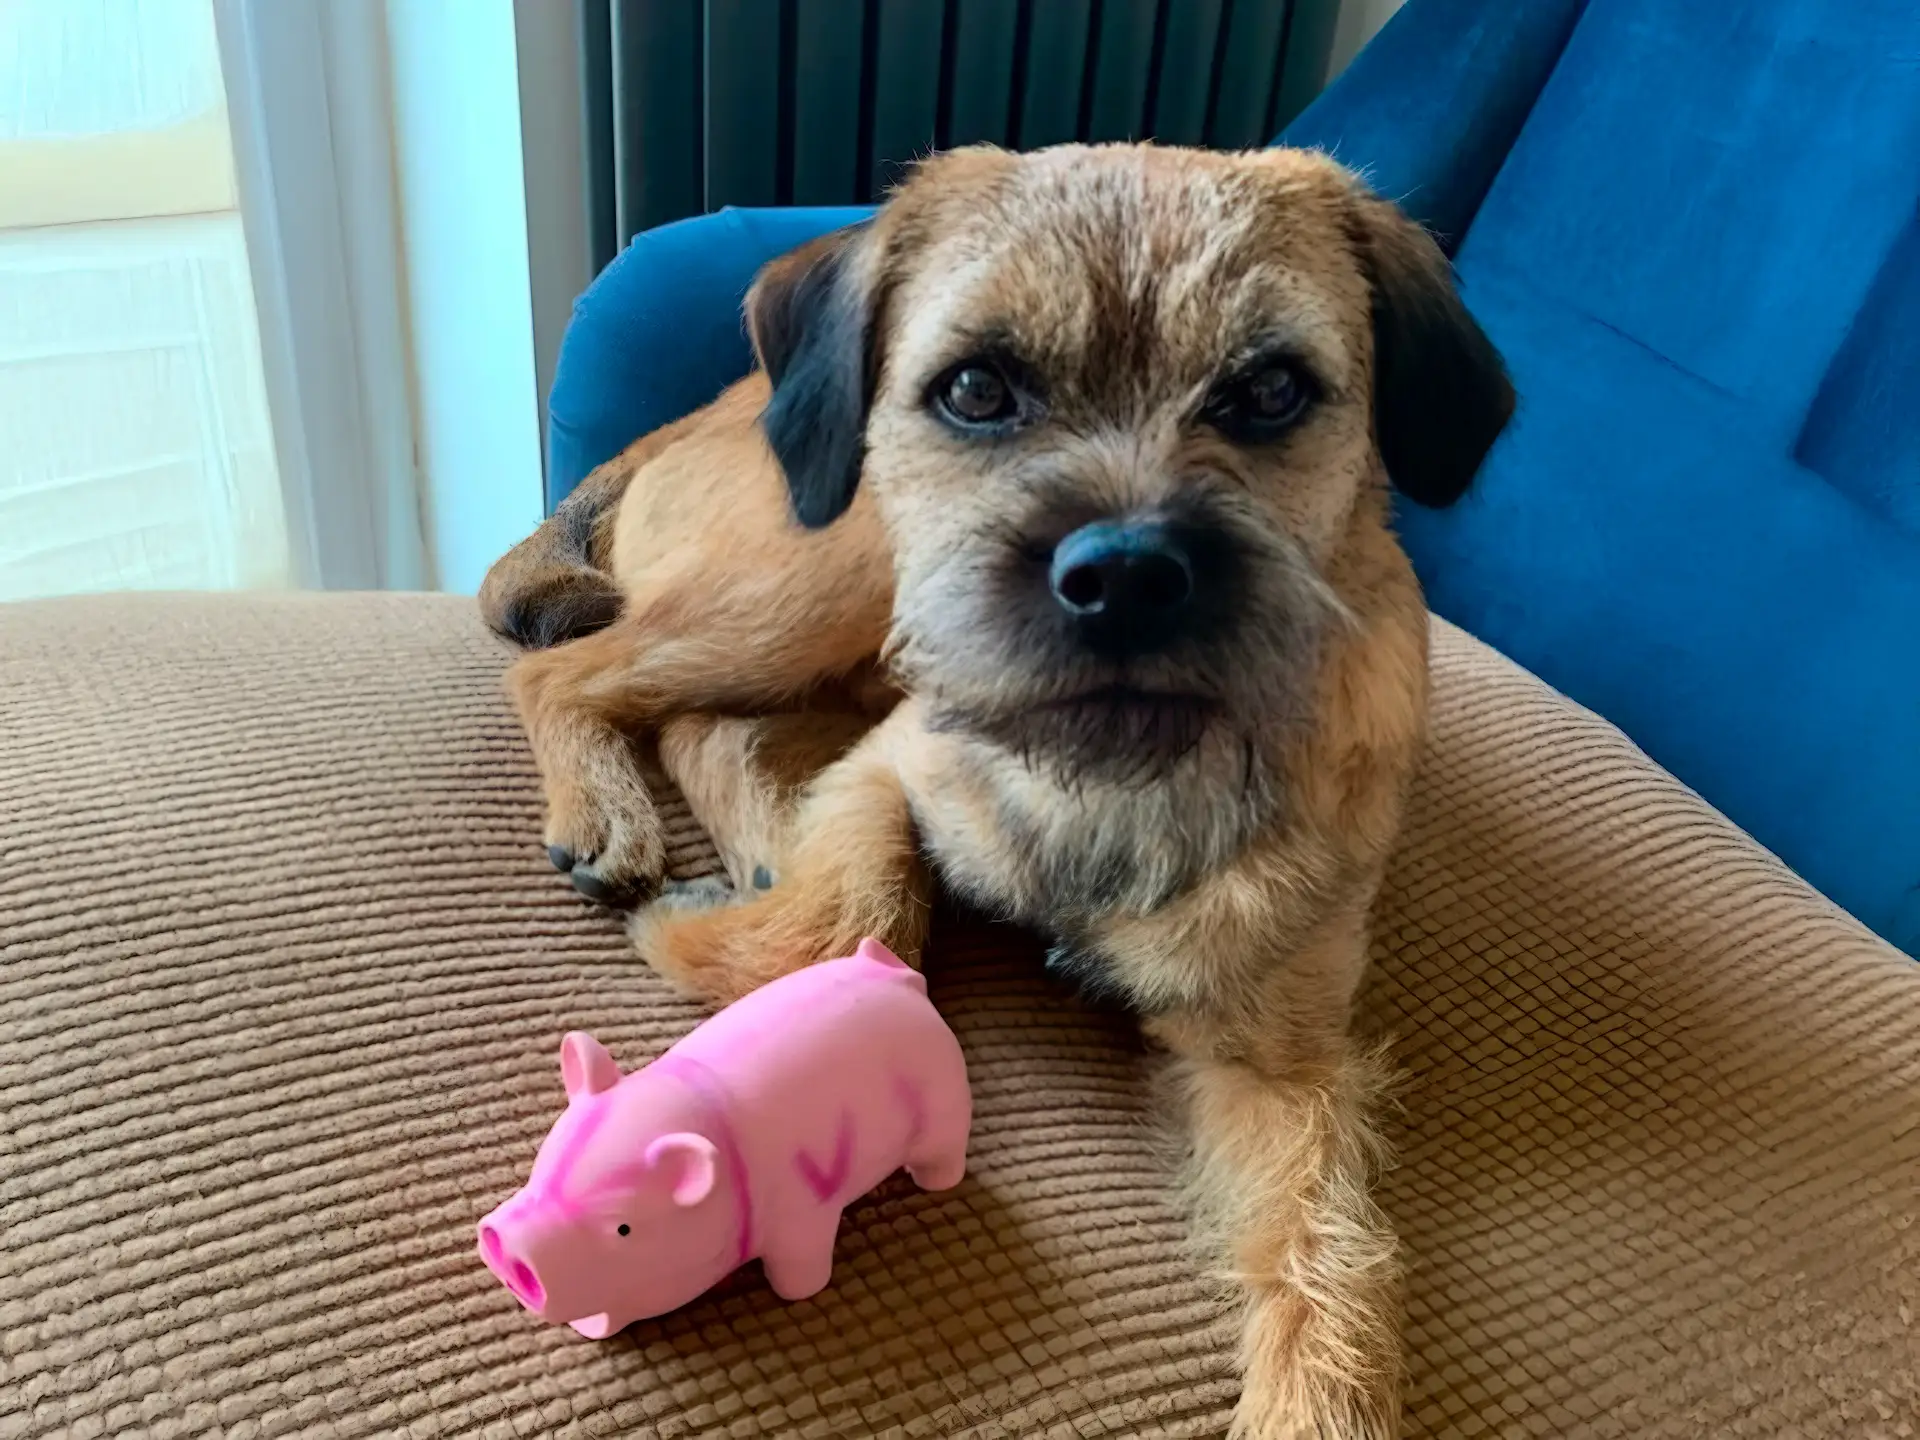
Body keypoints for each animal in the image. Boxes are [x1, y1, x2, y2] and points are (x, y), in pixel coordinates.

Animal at [480, 138, 1512, 1440]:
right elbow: (860, 914)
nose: (1124, 577)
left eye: (1271, 390)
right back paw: (616, 813)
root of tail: (707, 409)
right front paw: (716, 939)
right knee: (571, 675)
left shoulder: (1282, 1066)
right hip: (833, 575)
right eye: (976, 389)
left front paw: (1318, 1404)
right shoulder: (895, 765)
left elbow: (1329, 1246)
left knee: (699, 725)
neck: (1110, 774)